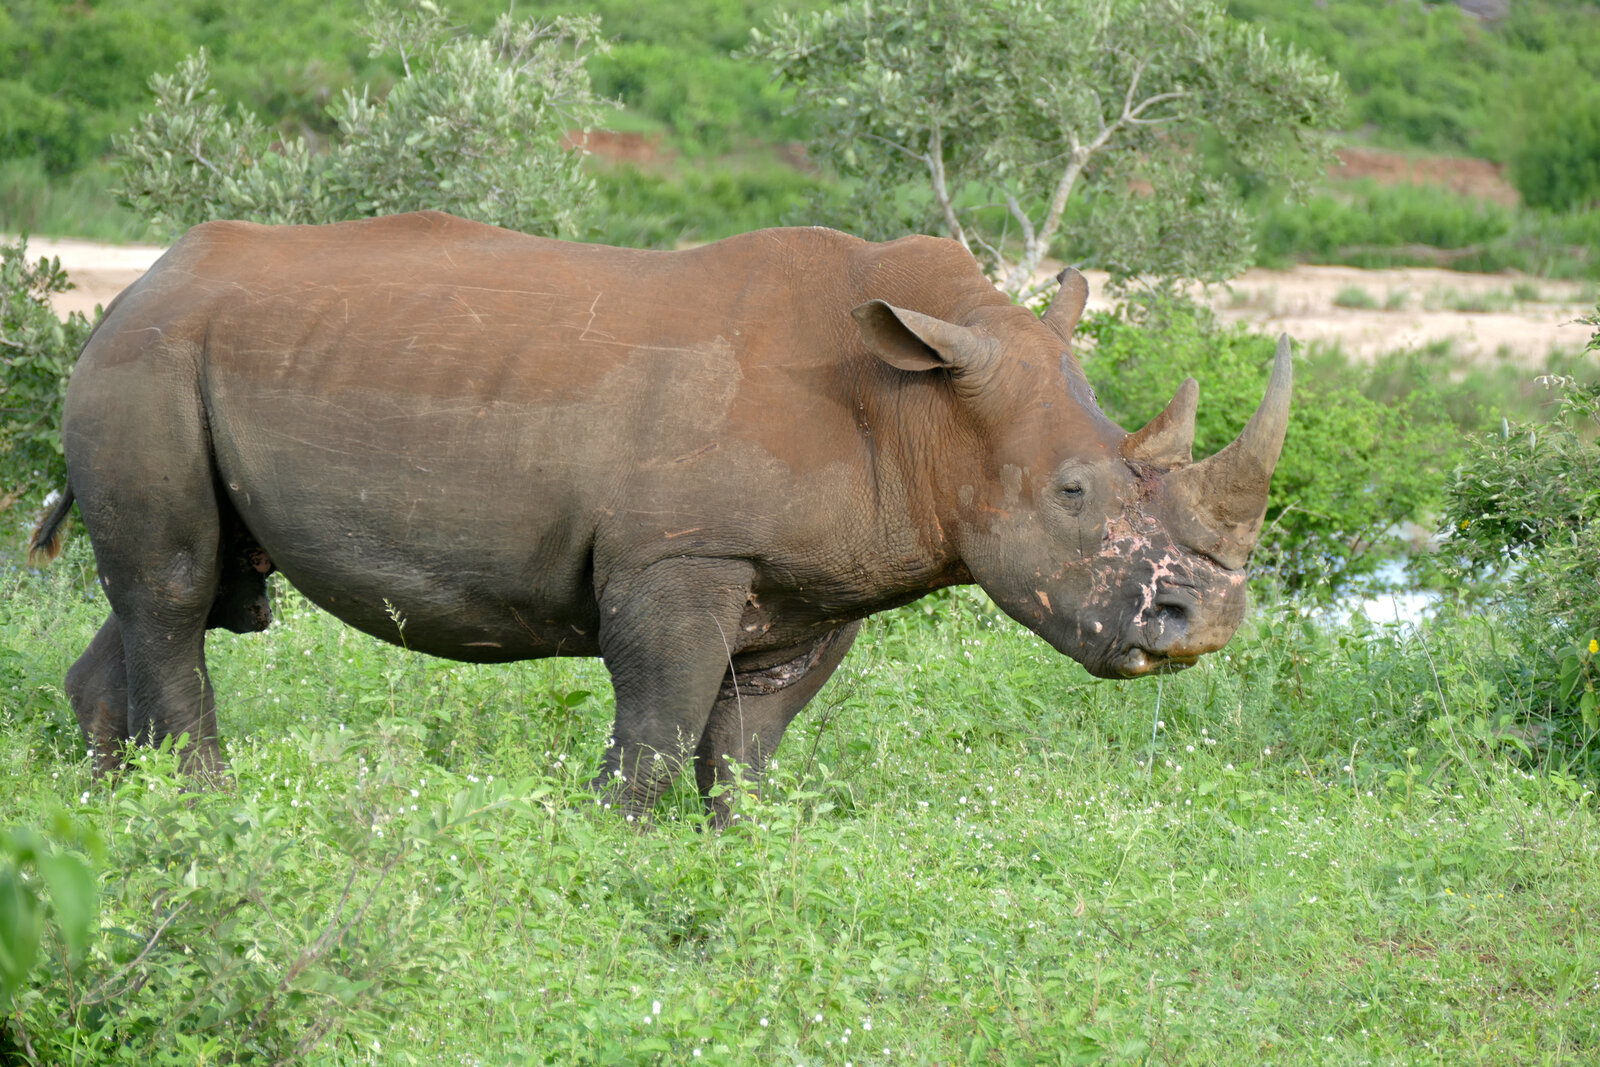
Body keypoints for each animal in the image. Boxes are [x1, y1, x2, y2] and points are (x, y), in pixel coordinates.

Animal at [30, 211, 1290, 821]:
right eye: (1073, 494)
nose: (1207, 620)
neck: (916, 405)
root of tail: (135, 286)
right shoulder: (678, 554)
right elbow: (657, 726)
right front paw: (612, 855)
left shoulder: (812, 582)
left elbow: (747, 748)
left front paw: (742, 859)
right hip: (146, 365)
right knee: (176, 584)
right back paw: (208, 812)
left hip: (188, 355)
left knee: (183, 590)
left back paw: (120, 817)